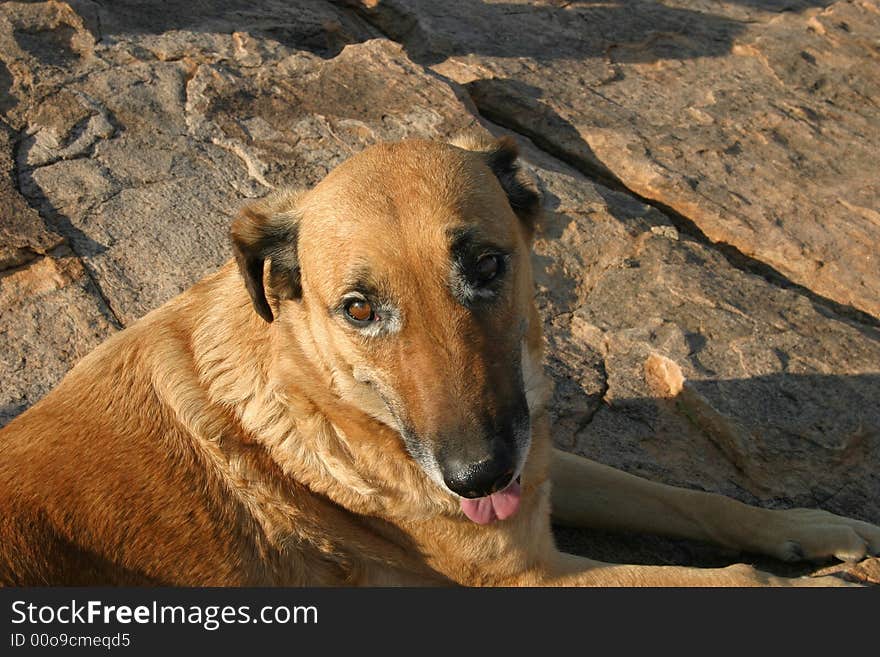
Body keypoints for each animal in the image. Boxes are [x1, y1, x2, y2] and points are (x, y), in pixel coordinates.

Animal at [1, 135, 880, 584]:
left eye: (488, 265)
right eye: (359, 309)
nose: (477, 477)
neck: (324, 398)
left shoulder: (536, 457)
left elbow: (687, 498)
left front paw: (807, 525)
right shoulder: (531, 578)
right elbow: (726, 579)